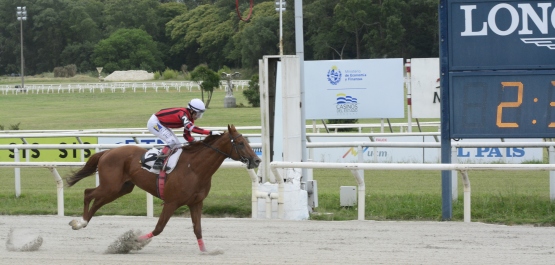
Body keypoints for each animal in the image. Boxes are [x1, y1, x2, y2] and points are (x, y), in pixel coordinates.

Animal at [65, 125, 260, 251]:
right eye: (241, 143)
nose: (257, 160)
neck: (195, 168)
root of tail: (107, 151)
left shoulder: (196, 202)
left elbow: (197, 229)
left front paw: (206, 251)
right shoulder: (171, 202)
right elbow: (159, 228)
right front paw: (131, 242)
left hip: (121, 188)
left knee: (97, 201)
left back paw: (82, 223)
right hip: (111, 186)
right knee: (88, 193)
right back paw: (80, 222)